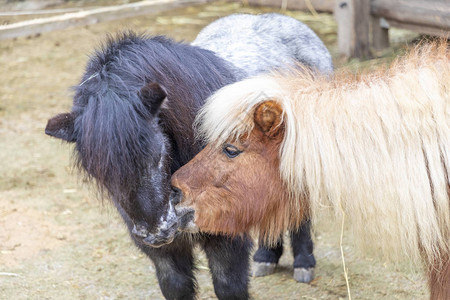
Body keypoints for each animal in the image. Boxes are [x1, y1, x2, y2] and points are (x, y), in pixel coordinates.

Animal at [46, 33, 251, 300]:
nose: (156, 232)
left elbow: (230, 287)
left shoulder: (227, 240)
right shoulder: (165, 254)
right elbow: (175, 286)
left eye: (159, 153)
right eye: (100, 174)